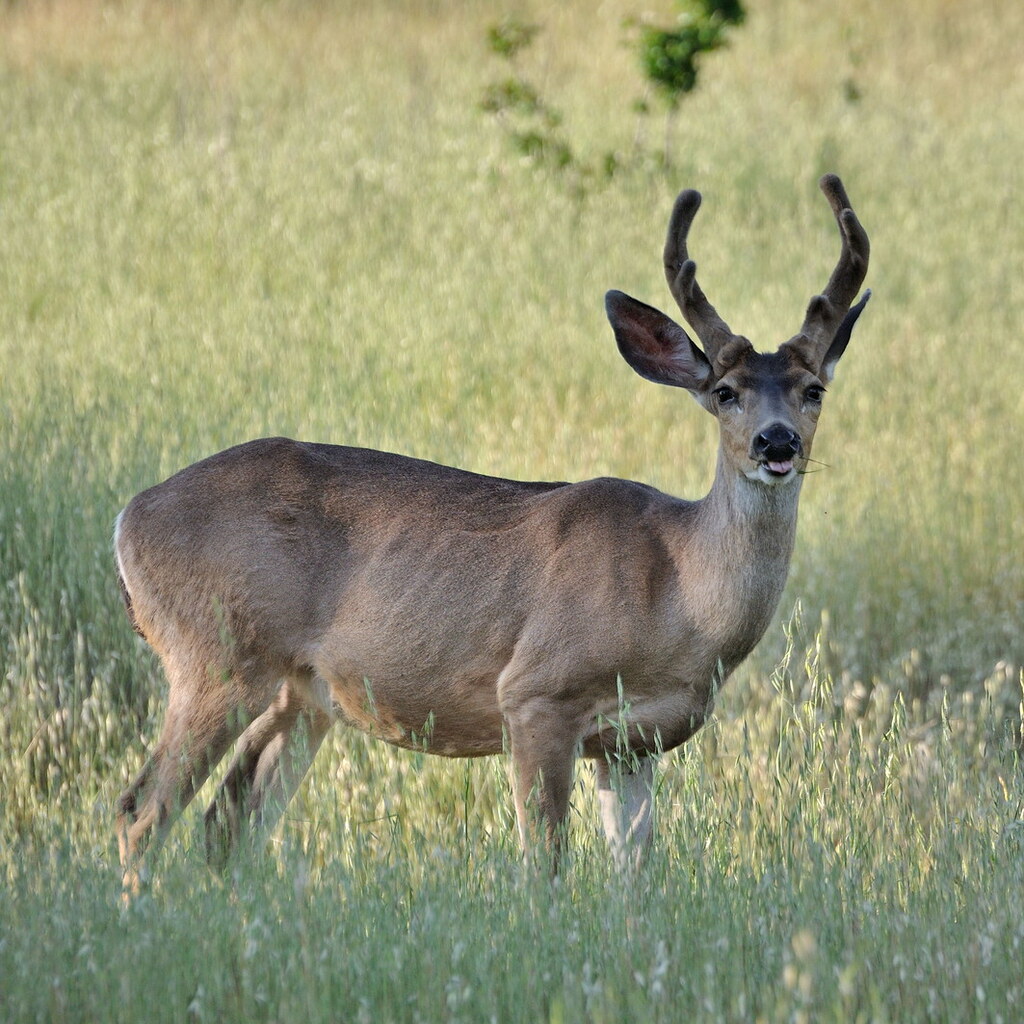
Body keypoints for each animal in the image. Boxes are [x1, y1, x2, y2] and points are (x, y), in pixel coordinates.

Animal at [114, 174, 869, 890]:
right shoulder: (537, 694)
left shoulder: (631, 745)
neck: (677, 594)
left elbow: (635, 876)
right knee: (142, 809)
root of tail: (128, 520)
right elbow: (545, 867)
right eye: (725, 393)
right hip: (215, 653)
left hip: (300, 693)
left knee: (228, 819)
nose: (777, 443)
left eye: (813, 390)